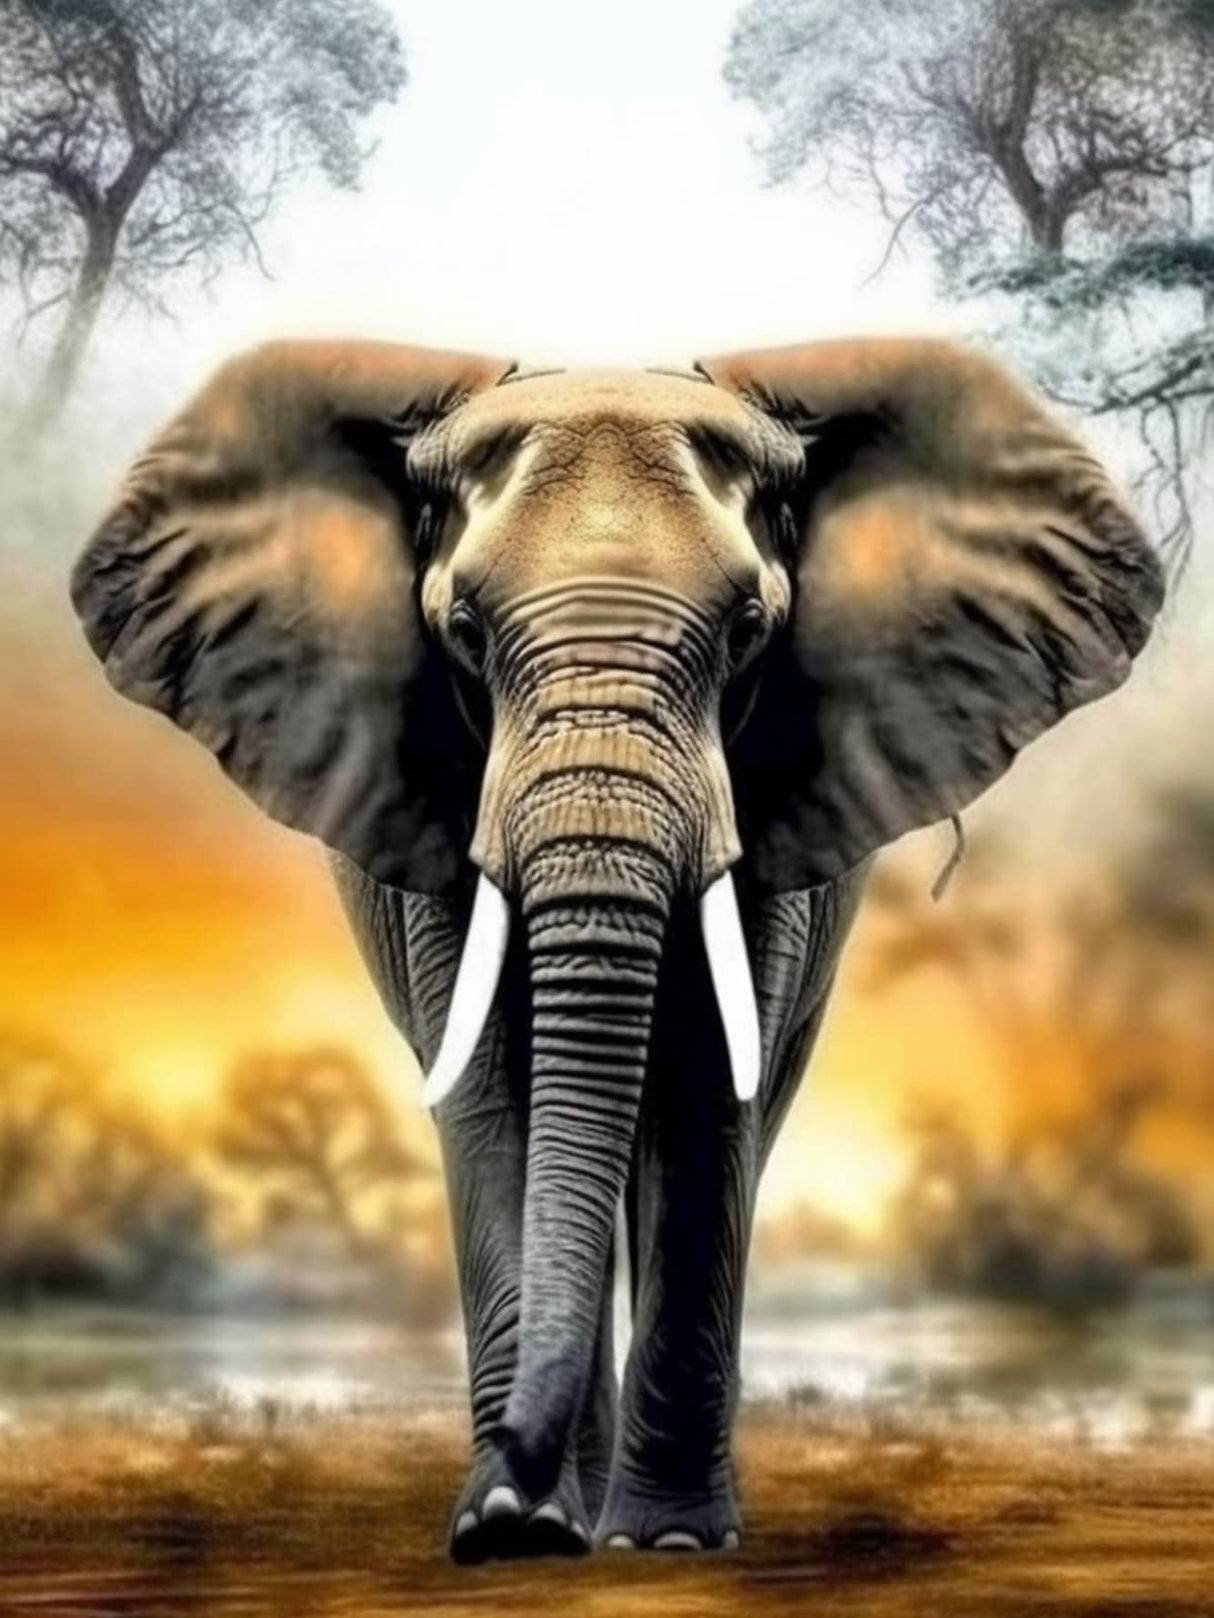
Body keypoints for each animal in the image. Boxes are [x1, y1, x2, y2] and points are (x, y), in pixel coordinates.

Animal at [70, 335, 1163, 1562]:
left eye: (748, 630)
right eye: (462, 632)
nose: (498, 1509)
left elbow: (705, 1085)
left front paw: (669, 1543)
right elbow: (491, 1091)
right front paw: (524, 1527)